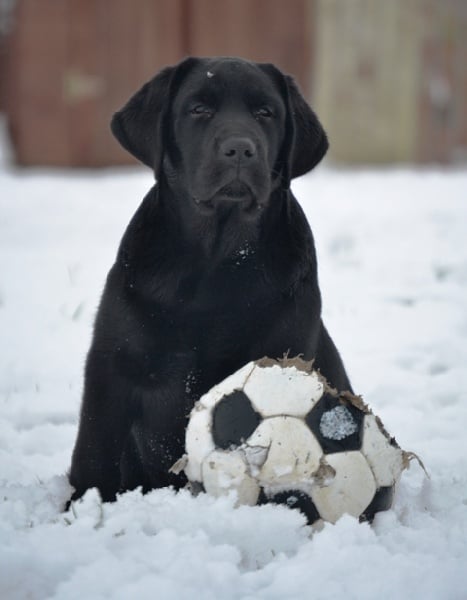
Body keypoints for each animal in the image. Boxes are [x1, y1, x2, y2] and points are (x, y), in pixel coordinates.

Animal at [68, 56, 352, 504]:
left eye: (265, 112)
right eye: (198, 109)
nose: (240, 149)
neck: (216, 259)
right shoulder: (111, 365)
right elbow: (94, 451)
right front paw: (83, 507)